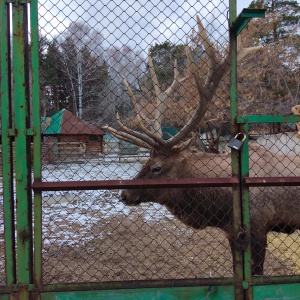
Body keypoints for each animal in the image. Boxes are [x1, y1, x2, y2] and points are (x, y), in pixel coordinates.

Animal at [104, 15, 300, 274]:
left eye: (156, 167)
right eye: (144, 162)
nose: (124, 194)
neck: (222, 207)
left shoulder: (259, 225)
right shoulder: (232, 233)